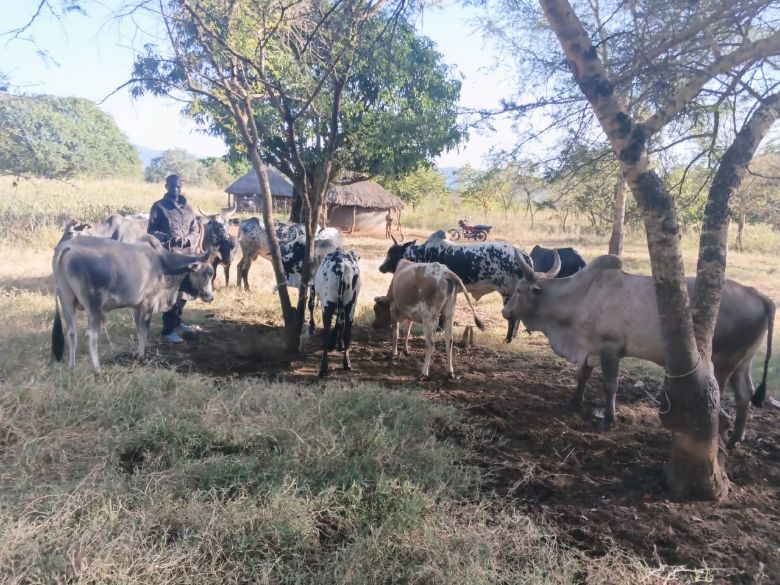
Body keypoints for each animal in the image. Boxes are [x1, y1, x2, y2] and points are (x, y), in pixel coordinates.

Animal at [51, 235, 215, 370]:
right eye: (208, 273)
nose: (210, 297)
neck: (164, 263)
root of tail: (68, 246)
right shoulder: (148, 303)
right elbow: (144, 331)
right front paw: (142, 357)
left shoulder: (136, 307)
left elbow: (139, 331)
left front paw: (138, 354)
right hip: (94, 307)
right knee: (91, 335)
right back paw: (97, 368)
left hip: (66, 301)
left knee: (71, 332)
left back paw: (71, 367)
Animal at [308, 249, 361, 378]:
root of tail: (340, 265)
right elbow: (340, 323)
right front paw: (338, 343)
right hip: (351, 305)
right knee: (347, 332)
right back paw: (346, 363)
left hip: (327, 304)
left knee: (326, 332)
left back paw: (323, 368)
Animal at [378, 234, 531, 343]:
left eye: (393, 253)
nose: (381, 267)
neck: (425, 253)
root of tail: (524, 255)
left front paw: (438, 329)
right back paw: (513, 337)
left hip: (508, 294)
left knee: (513, 319)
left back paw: (508, 339)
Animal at [502, 252, 775, 447]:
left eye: (519, 290)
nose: (505, 312)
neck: (583, 295)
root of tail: (761, 296)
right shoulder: (590, 348)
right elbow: (582, 376)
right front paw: (573, 401)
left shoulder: (610, 349)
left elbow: (609, 385)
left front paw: (608, 420)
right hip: (743, 362)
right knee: (744, 395)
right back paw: (735, 439)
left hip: (723, 361)